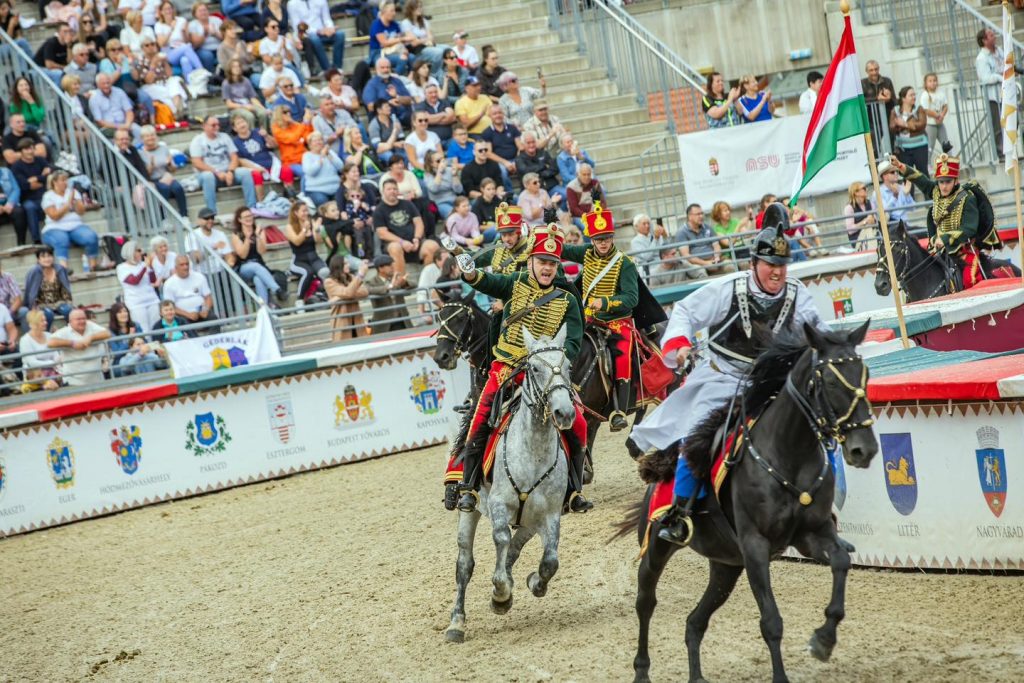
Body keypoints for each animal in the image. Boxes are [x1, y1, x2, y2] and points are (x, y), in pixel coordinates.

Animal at [446, 327, 581, 643]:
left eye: (568, 366)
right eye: (534, 368)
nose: (565, 413)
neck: (533, 452)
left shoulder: (550, 514)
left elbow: (550, 561)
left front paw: (532, 584)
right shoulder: (499, 505)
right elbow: (500, 539)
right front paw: (500, 592)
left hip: (530, 521)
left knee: (515, 549)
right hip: (470, 510)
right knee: (465, 564)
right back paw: (457, 623)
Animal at [614, 321, 880, 683]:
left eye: (865, 374)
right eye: (827, 380)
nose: (863, 449)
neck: (788, 455)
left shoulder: (812, 534)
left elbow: (840, 561)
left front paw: (823, 640)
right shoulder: (755, 546)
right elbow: (771, 622)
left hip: (726, 564)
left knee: (694, 621)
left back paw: (696, 676)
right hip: (657, 548)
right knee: (646, 602)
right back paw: (641, 671)